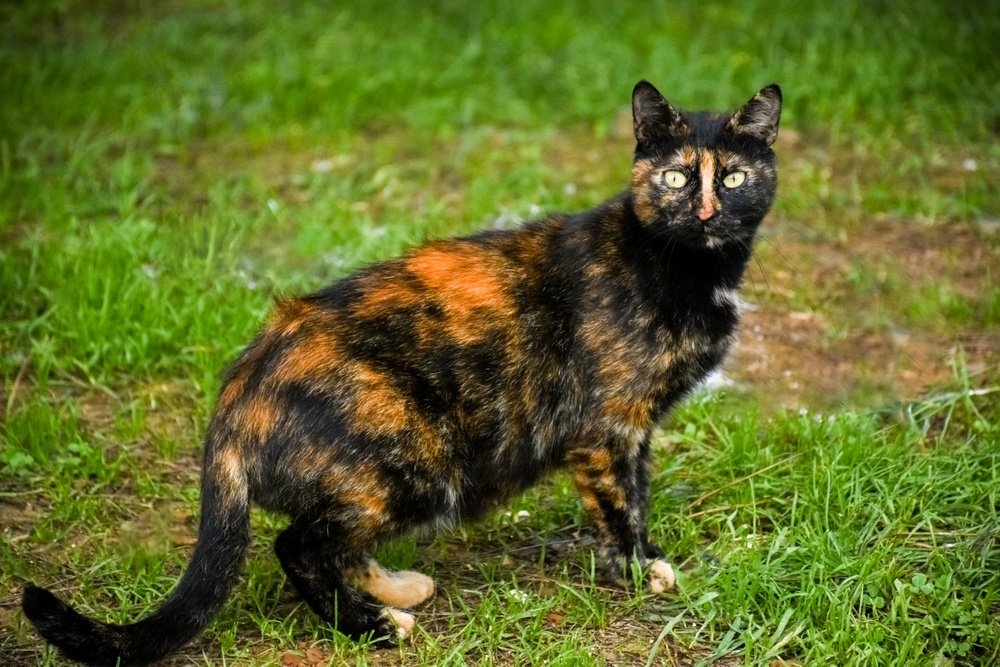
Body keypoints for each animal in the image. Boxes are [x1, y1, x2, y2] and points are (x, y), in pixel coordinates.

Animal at [21, 81, 780, 664]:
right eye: (676, 177)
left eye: (734, 176)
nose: (706, 211)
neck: (687, 267)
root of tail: (238, 393)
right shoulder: (609, 425)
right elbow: (624, 503)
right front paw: (641, 566)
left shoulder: (638, 429)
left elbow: (640, 493)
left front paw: (642, 557)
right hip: (412, 459)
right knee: (299, 543)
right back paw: (374, 626)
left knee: (337, 542)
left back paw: (392, 591)